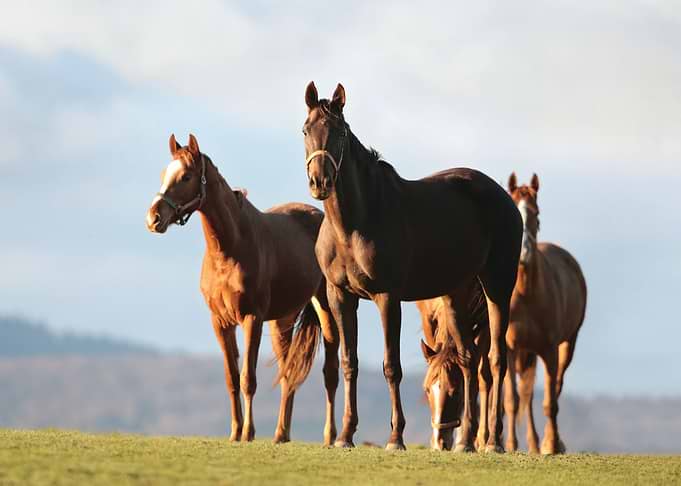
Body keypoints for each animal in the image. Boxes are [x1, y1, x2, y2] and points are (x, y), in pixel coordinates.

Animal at [145, 134, 339, 445]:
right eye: (164, 174)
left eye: (186, 176)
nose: (153, 218)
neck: (230, 249)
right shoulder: (221, 322)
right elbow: (232, 378)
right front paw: (235, 432)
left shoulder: (252, 319)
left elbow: (248, 378)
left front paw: (248, 432)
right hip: (282, 322)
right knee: (288, 372)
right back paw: (281, 434)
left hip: (325, 309)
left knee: (330, 371)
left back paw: (331, 435)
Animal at [418, 279, 491, 452]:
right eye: (426, 390)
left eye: (457, 391)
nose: (439, 443)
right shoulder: (427, 317)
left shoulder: (484, 321)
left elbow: (477, 378)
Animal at [503, 173, 587, 454]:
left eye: (536, 213)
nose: (523, 253)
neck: (527, 294)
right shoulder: (510, 349)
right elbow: (512, 399)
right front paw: (510, 445)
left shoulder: (549, 351)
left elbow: (550, 401)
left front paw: (551, 444)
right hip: (525, 354)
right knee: (525, 396)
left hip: (566, 345)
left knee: (554, 388)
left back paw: (549, 442)